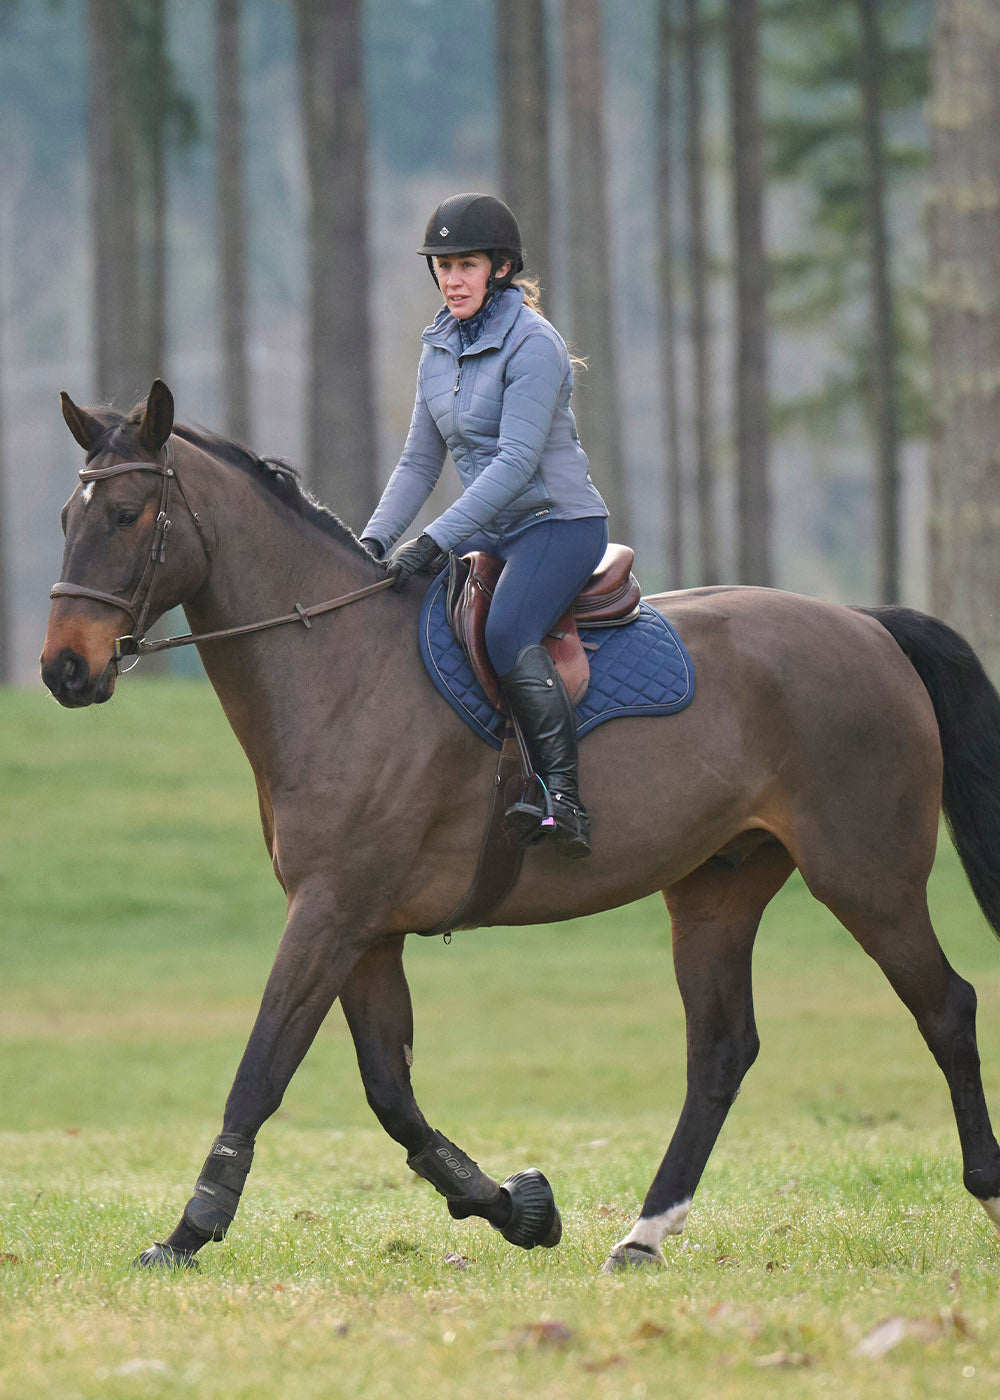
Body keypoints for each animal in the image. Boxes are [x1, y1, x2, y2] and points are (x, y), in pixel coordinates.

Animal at [41, 379, 1000, 1273]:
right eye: (65, 516)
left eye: (126, 514)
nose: (64, 670)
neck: (343, 672)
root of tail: (868, 625)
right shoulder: (365, 930)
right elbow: (391, 1094)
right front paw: (516, 1208)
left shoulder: (331, 912)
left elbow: (263, 1069)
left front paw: (188, 1232)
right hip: (717, 889)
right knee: (722, 1051)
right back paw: (644, 1235)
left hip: (866, 878)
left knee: (947, 1009)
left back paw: (986, 1192)